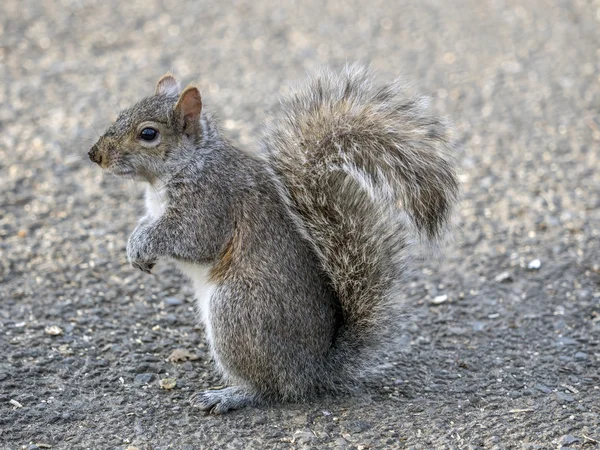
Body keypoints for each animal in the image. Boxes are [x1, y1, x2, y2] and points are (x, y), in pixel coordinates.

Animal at [88, 65, 460, 414]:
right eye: (120, 114)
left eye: (148, 134)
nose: (95, 154)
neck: (185, 166)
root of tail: (311, 371)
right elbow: (149, 224)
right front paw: (135, 245)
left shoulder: (210, 203)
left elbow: (193, 240)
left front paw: (142, 245)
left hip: (237, 310)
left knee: (270, 388)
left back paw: (231, 395)